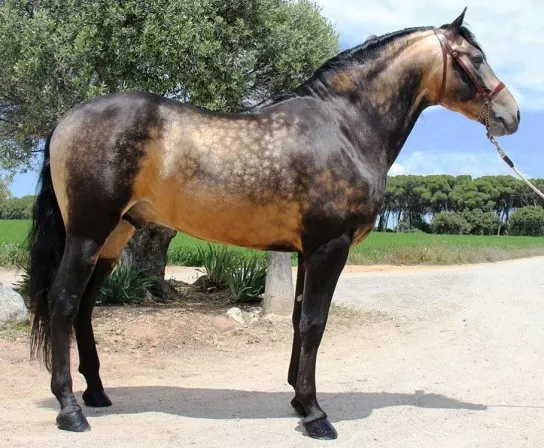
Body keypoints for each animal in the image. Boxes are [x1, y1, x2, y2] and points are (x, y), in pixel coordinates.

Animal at [27, 9, 520, 440]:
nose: (512, 115)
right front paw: (316, 415)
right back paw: (70, 410)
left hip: (114, 238)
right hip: (87, 234)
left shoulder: (308, 250)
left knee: (86, 306)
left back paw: (96, 393)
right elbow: (315, 323)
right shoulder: (329, 247)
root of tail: (67, 119)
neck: (345, 126)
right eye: (474, 57)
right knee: (63, 302)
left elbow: (301, 320)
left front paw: (300, 402)